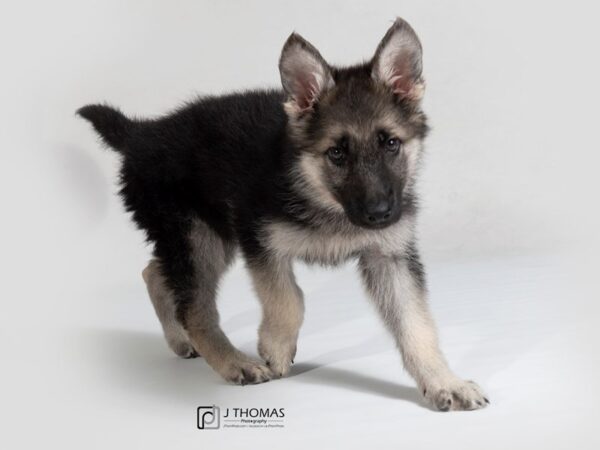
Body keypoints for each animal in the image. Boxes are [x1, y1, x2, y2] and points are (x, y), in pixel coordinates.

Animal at [78, 18, 488, 412]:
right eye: (336, 153)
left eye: (390, 143)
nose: (380, 215)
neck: (321, 197)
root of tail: (142, 134)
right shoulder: (261, 241)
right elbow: (289, 299)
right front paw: (275, 347)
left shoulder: (390, 258)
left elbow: (417, 325)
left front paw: (443, 382)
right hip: (197, 237)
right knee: (194, 307)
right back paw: (233, 362)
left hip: (208, 235)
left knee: (154, 274)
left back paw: (180, 339)